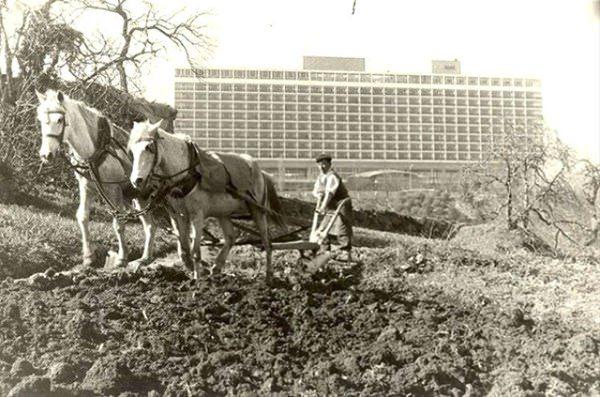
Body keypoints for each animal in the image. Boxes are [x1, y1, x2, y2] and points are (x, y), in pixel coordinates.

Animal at [34, 89, 157, 268]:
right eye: (41, 120)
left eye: (59, 120)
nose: (46, 154)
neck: (95, 150)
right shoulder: (86, 186)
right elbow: (82, 216)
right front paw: (88, 257)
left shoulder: (113, 190)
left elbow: (118, 222)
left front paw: (122, 258)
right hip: (138, 197)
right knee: (150, 225)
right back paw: (145, 257)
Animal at [127, 119, 286, 280]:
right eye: (132, 150)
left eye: (149, 147)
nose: (136, 180)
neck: (186, 172)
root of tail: (261, 172)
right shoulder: (180, 214)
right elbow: (184, 248)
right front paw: (192, 269)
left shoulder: (197, 215)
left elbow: (195, 251)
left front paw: (197, 279)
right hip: (223, 213)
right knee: (231, 237)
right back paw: (216, 267)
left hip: (258, 210)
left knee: (267, 242)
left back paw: (268, 276)